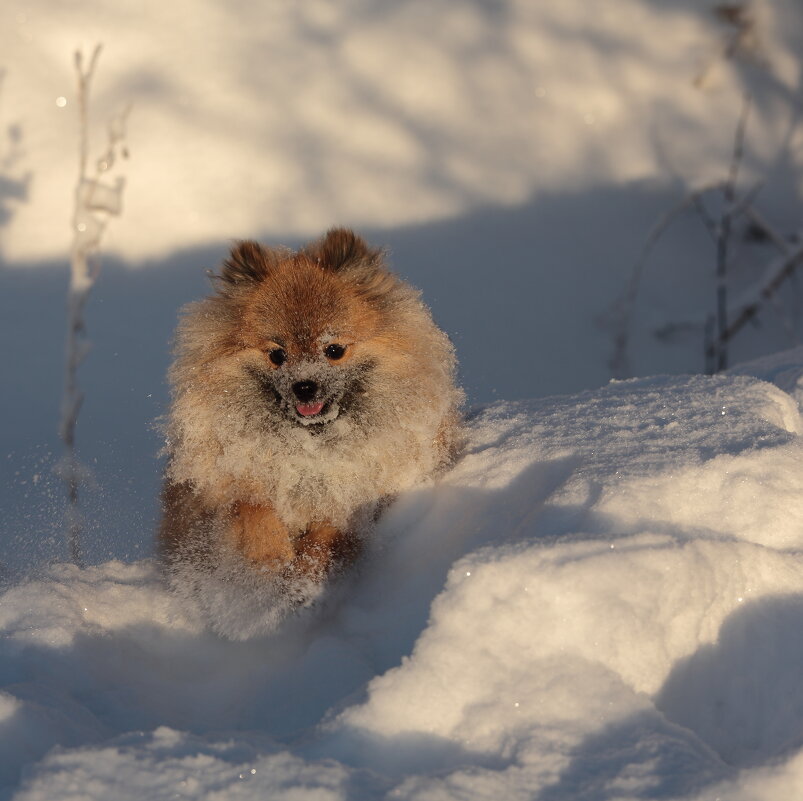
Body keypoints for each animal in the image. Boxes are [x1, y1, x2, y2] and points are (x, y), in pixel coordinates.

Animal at [162, 228, 464, 636]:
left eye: (333, 349)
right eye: (277, 354)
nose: (304, 386)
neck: (310, 446)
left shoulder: (354, 502)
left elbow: (325, 536)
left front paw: (303, 577)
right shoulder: (227, 486)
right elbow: (252, 510)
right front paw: (271, 559)